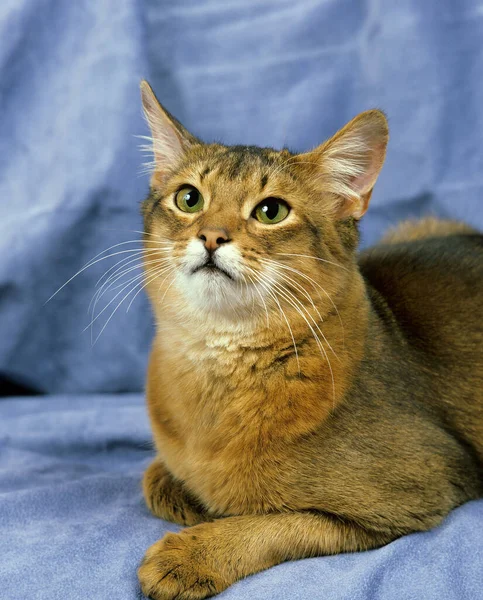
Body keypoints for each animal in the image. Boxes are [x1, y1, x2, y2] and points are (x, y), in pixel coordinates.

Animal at [137, 81, 483, 600]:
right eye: (189, 199)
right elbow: (157, 477)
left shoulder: (420, 488)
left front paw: (193, 552)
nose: (211, 236)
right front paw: (190, 495)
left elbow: (276, 523)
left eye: (271, 211)